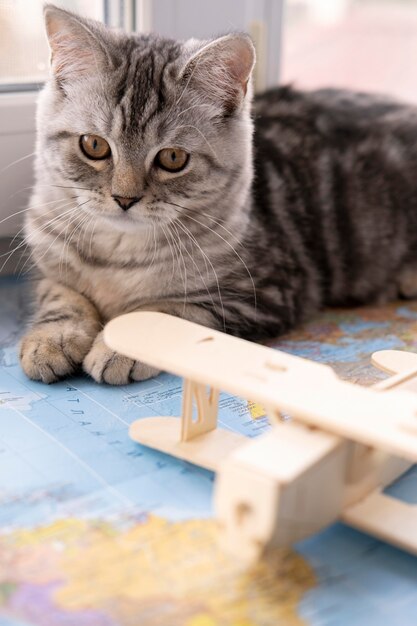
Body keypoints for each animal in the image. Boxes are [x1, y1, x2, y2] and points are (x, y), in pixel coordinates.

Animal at [20, 4, 417, 382]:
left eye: (173, 158)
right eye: (94, 145)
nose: (125, 199)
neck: (117, 255)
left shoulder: (261, 292)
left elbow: (168, 310)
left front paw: (121, 345)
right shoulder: (49, 263)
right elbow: (60, 296)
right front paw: (51, 339)